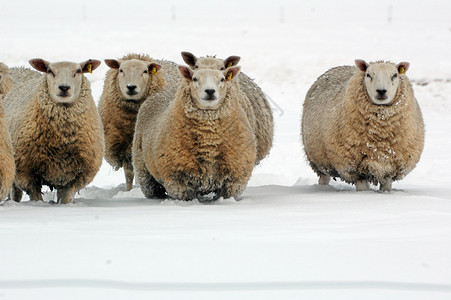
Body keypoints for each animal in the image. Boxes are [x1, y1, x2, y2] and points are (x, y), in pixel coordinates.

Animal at [3, 58, 104, 204]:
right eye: (50, 71)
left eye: (78, 71)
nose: (64, 87)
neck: (62, 139)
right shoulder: (27, 173)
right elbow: (35, 196)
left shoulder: (76, 176)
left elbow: (65, 198)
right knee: (15, 191)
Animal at [98, 53, 170, 190]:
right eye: (121, 70)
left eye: (145, 71)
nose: (131, 87)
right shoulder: (123, 147)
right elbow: (129, 174)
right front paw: (129, 190)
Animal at [132, 66, 256, 202]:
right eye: (195, 78)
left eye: (222, 79)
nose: (210, 91)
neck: (209, 139)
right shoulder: (177, 180)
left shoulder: (236, 179)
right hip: (143, 170)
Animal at [302, 59, 426, 191]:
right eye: (368, 75)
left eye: (395, 75)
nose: (381, 91)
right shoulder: (357, 169)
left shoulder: (390, 168)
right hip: (320, 161)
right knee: (324, 177)